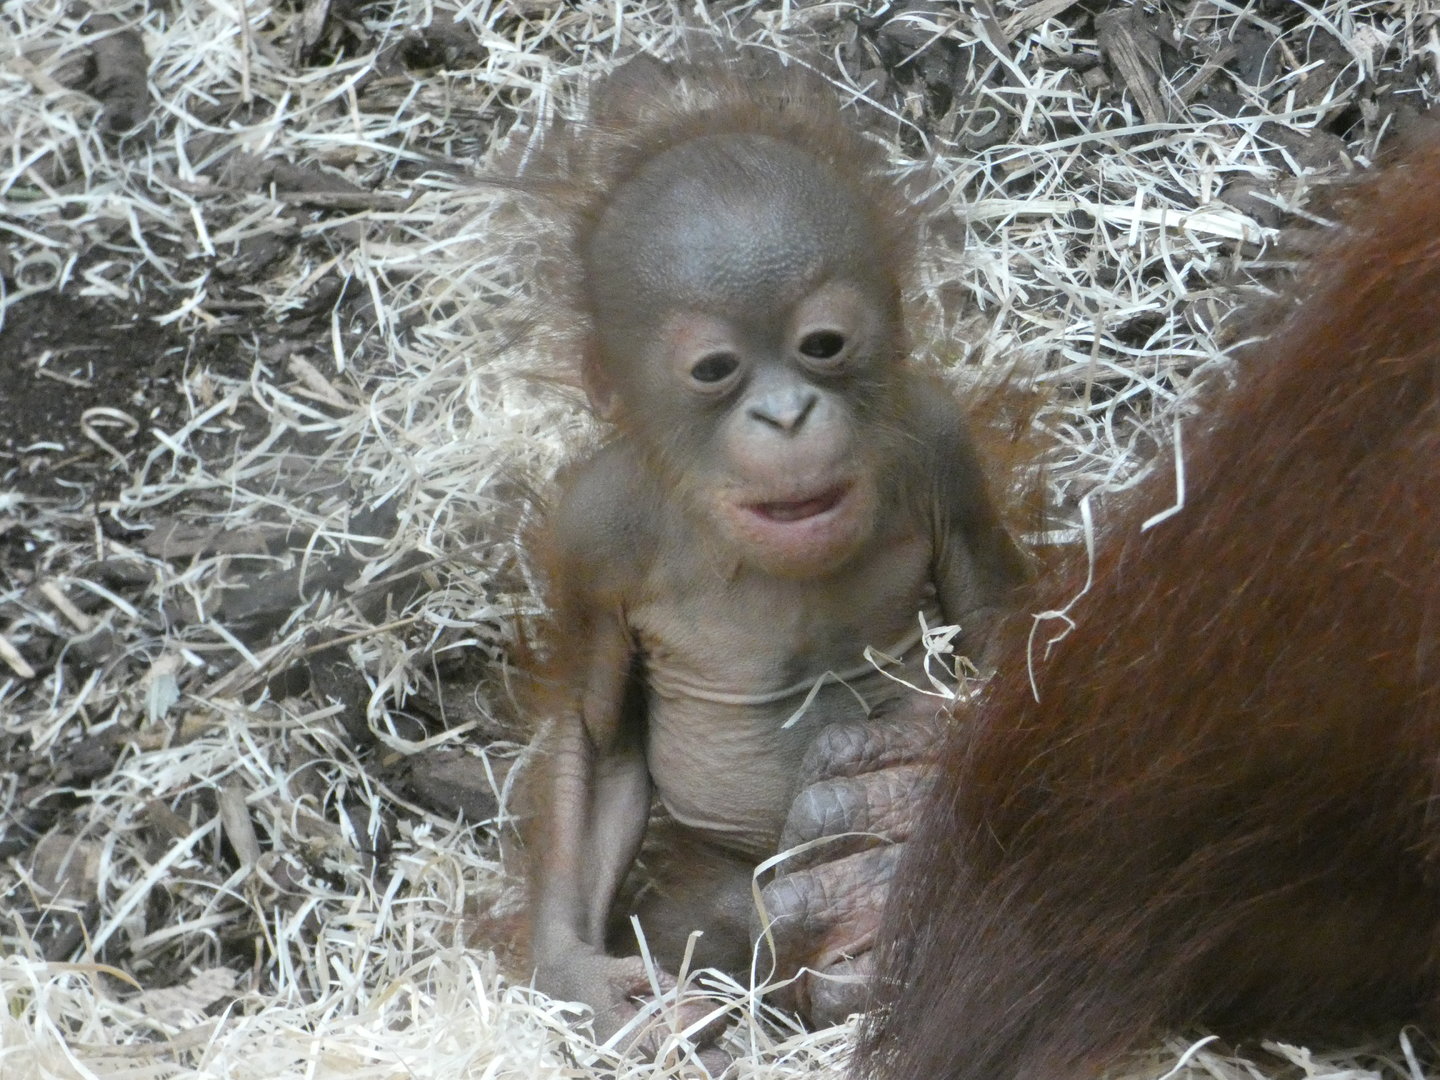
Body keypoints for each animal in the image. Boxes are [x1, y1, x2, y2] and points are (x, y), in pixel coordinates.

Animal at [516, 55, 1028, 1043]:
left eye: (821, 345)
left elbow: (993, 621)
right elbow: (599, 741)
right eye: (716, 370)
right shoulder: (593, 532)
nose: (787, 414)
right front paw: (585, 979)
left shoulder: (939, 442)